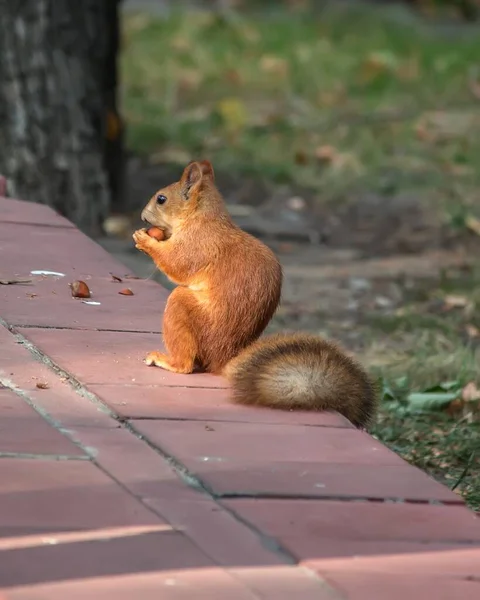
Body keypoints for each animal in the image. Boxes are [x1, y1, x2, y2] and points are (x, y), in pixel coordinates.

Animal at [133, 159, 376, 426]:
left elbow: (177, 264)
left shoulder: (197, 245)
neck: (202, 217)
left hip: (184, 308)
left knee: (185, 362)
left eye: (161, 199)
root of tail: (223, 358)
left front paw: (144, 240)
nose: (142, 216)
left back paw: (166, 361)